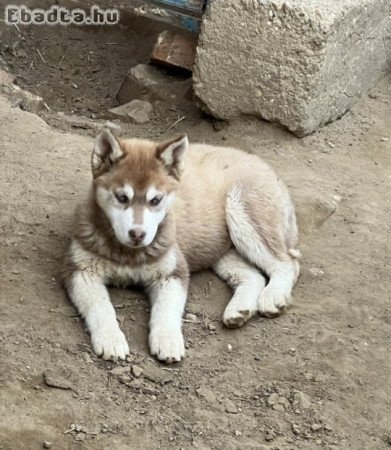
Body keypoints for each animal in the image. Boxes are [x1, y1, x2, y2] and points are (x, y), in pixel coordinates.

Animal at [62, 129, 300, 362]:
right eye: (121, 197)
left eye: (155, 200)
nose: (138, 234)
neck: (128, 253)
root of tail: (261, 162)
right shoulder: (80, 271)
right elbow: (100, 306)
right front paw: (110, 339)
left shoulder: (173, 273)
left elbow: (166, 311)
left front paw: (167, 340)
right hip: (219, 249)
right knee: (254, 275)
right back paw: (239, 310)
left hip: (244, 216)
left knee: (287, 264)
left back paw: (273, 296)